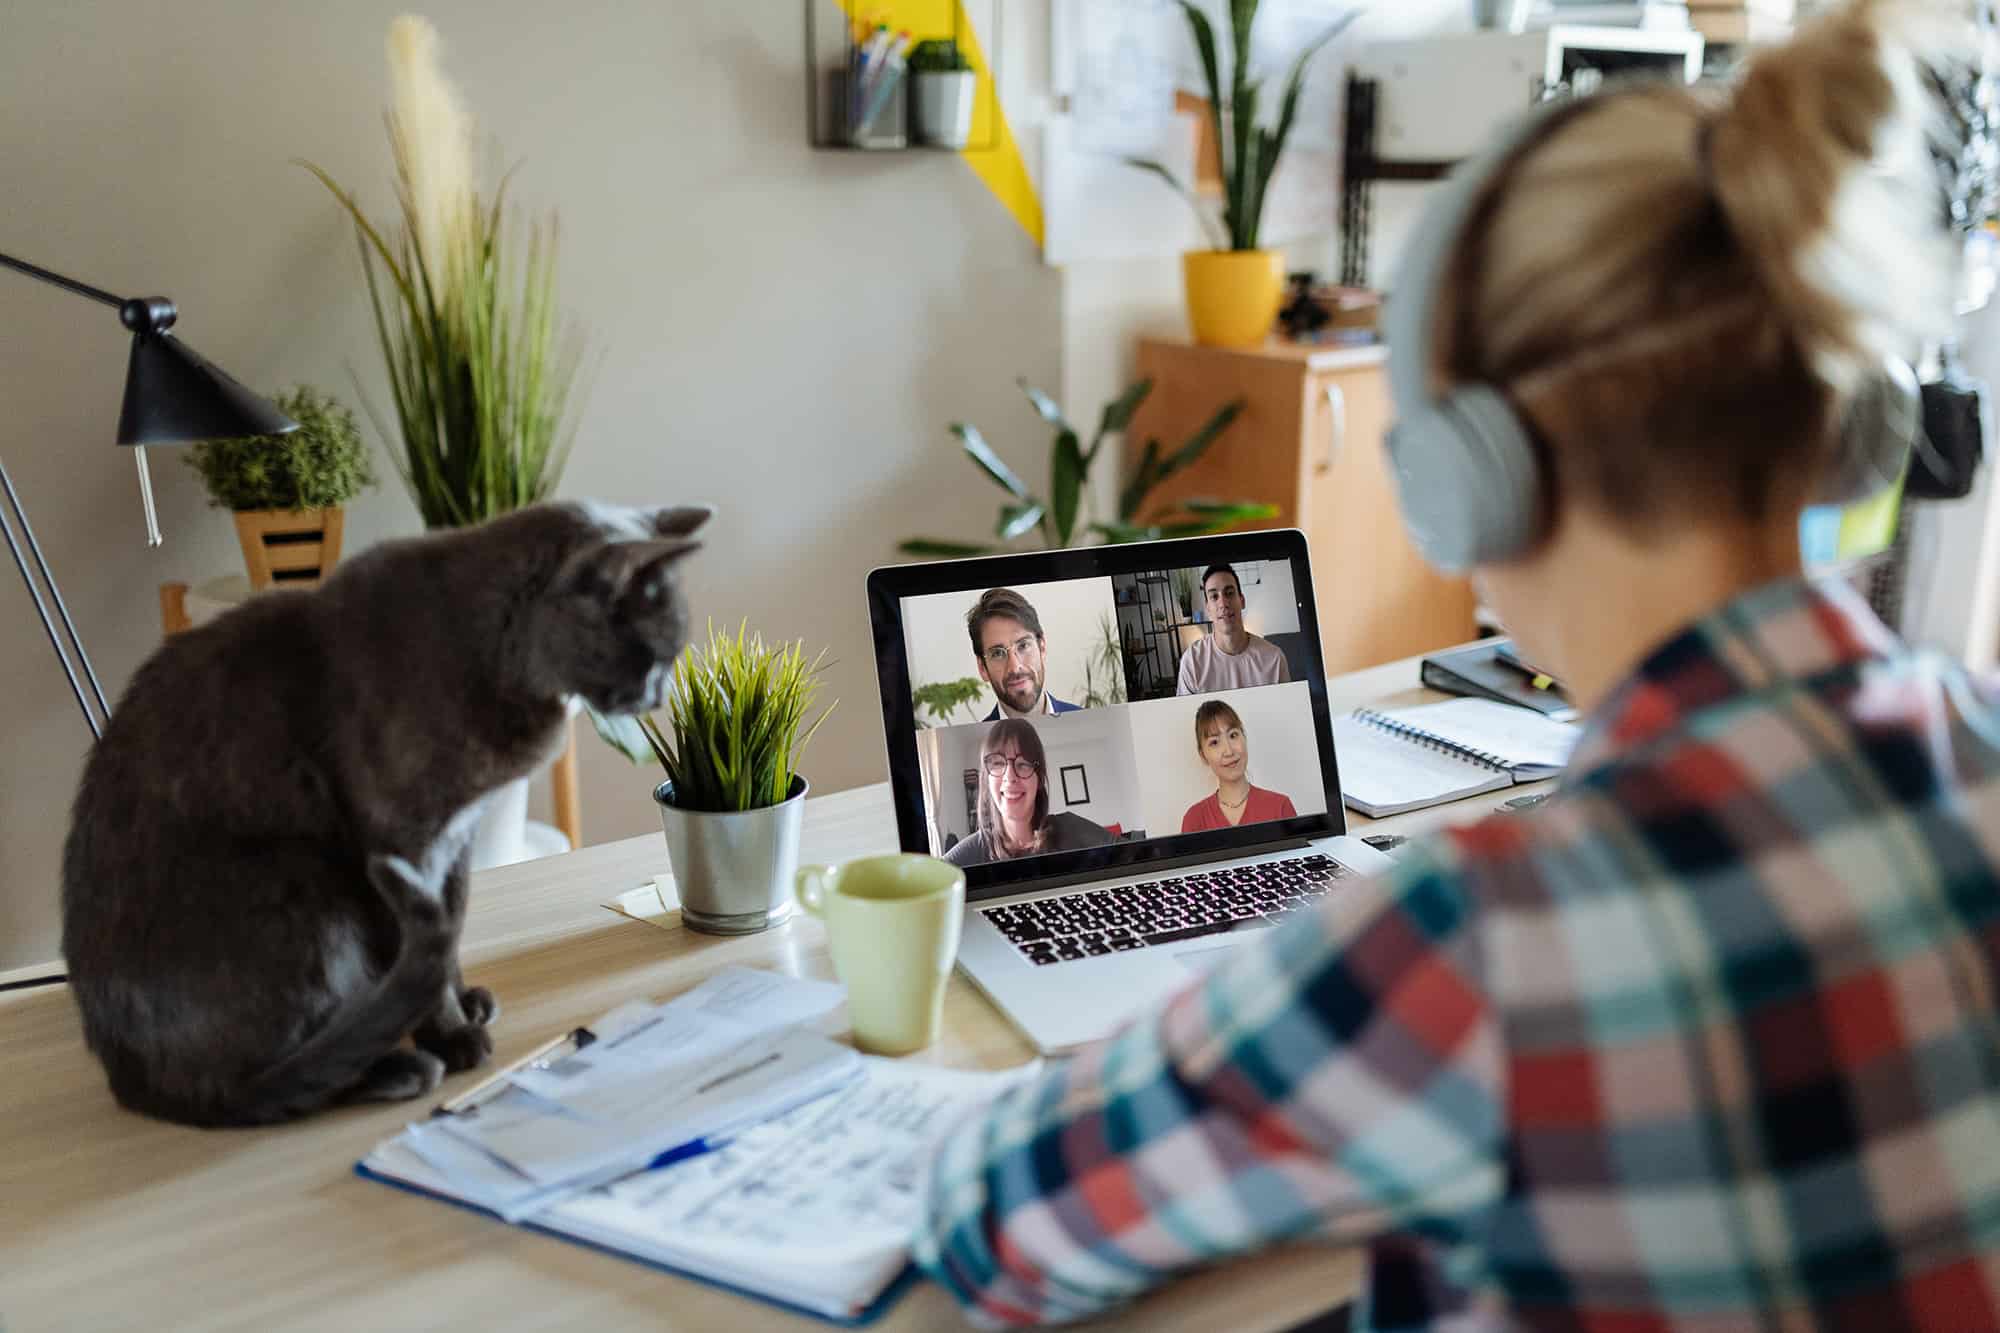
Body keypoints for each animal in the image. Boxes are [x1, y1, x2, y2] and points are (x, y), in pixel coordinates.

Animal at [62, 498, 712, 1120]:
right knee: (254, 1086)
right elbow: (424, 938)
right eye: (652, 656)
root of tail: (129, 1080)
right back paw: (396, 1067)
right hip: (306, 882)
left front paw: (462, 1002)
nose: (659, 695)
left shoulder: (455, 841)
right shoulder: (400, 841)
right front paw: (452, 1036)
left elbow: (450, 927)